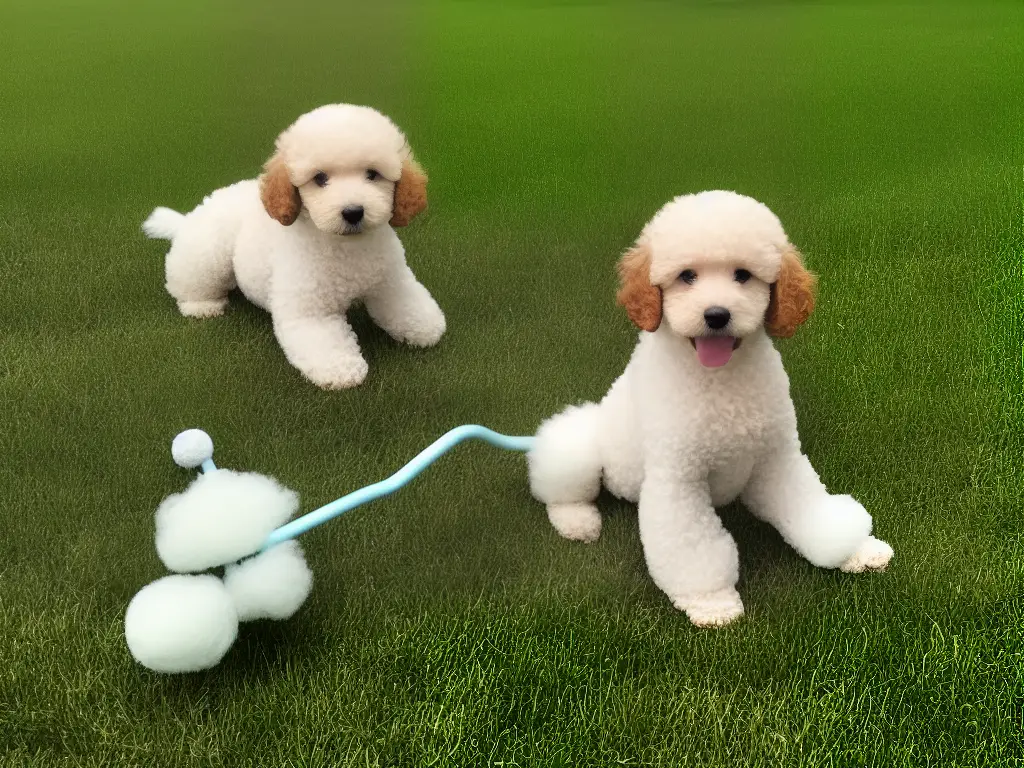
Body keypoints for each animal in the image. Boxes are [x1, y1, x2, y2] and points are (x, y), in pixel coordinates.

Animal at [143, 103, 444, 391]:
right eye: (320, 178)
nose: (353, 212)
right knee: (189, 282)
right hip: (208, 253)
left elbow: (406, 305)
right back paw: (202, 305)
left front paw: (426, 325)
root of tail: (188, 220)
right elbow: (325, 343)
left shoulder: (391, 283)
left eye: (373, 174)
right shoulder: (309, 311)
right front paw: (340, 371)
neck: (346, 247)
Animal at [528, 192, 897, 630]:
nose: (717, 315)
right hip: (580, 447)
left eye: (743, 275)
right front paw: (712, 602)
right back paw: (579, 523)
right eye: (686, 276)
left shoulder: (776, 459)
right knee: (562, 487)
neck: (721, 381)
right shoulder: (679, 480)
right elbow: (694, 549)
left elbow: (811, 509)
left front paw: (856, 549)